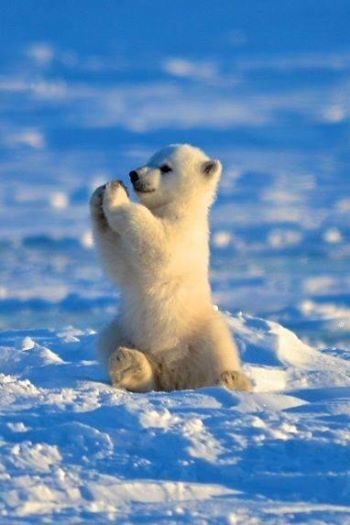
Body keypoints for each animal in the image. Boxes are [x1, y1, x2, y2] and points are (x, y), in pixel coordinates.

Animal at [90, 142, 252, 388]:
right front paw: (99, 195)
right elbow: (117, 259)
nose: (133, 174)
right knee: (110, 342)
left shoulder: (185, 234)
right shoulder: (129, 264)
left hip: (204, 333)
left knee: (217, 358)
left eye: (166, 167)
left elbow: (157, 246)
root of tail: (172, 374)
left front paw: (115, 195)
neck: (178, 207)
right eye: (150, 159)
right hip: (125, 329)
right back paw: (129, 364)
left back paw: (231, 379)